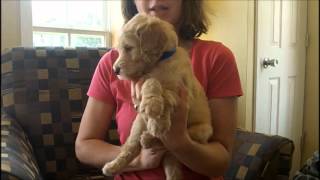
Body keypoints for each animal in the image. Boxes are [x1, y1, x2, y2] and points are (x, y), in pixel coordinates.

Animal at [102, 13, 212, 180]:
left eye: (129, 48)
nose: (115, 70)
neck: (161, 60)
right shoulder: (145, 81)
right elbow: (151, 81)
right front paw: (153, 108)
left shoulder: (178, 89)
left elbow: (160, 89)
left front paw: (157, 118)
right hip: (138, 124)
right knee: (130, 147)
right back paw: (113, 166)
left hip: (201, 131)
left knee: (169, 143)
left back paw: (150, 137)